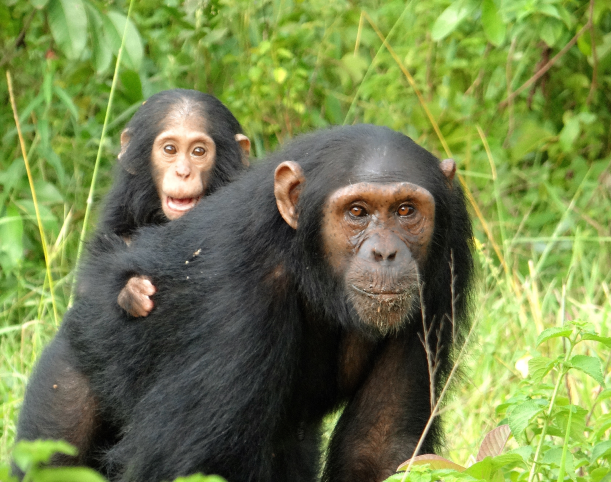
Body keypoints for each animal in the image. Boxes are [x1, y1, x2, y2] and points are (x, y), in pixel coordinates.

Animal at [15, 89, 252, 474]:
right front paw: (130, 292)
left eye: (198, 151)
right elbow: (92, 287)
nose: (183, 171)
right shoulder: (116, 222)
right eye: (170, 149)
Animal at [23, 125, 476, 482]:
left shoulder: (438, 280)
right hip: (64, 381)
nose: (385, 252)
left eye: (406, 210)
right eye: (357, 212)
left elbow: (378, 446)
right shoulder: (235, 297)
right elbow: (188, 463)